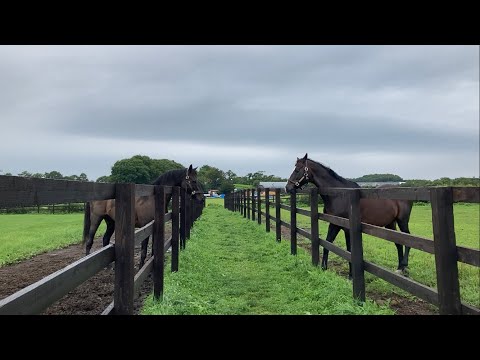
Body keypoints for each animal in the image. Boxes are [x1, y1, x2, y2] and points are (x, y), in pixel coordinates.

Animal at [284, 153, 412, 278]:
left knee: (408, 240)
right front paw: (323, 268)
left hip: (402, 221)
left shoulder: (347, 228)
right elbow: (327, 243)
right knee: (399, 243)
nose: (287, 188)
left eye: (297, 169)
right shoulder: (334, 224)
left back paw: (404, 265)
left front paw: (351, 276)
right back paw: (399, 268)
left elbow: (349, 250)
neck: (339, 194)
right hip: (390, 224)